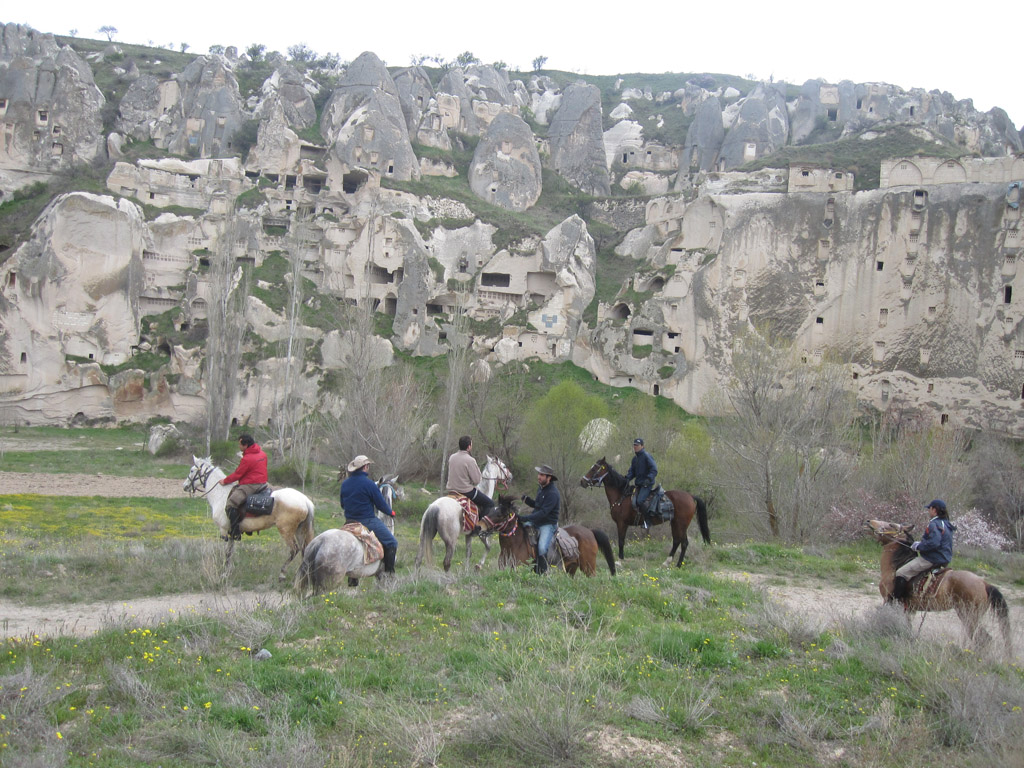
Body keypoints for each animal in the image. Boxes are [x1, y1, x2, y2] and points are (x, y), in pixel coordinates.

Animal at [182, 456, 313, 577]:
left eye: (192, 470)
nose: (185, 486)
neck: (221, 495)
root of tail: (305, 500)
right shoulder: (232, 532)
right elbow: (230, 550)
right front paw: (228, 571)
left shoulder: (224, 530)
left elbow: (227, 552)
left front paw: (224, 572)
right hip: (299, 530)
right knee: (304, 549)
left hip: (286, 531)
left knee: (294, 550)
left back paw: (282, 573)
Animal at [864, 520, 1015, 659]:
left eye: (890, 525)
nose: (869, 522)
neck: (895, 566)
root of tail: (984, 583)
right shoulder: (910, 609)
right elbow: (907, 626)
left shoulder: (890, 600)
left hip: (969, 616)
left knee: (983, 638)